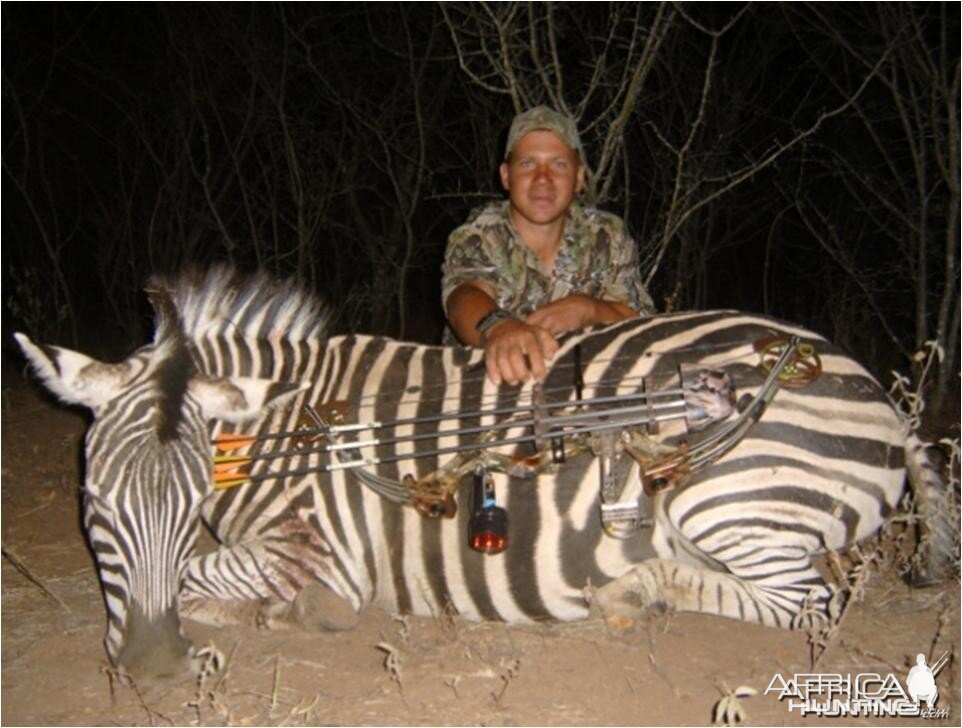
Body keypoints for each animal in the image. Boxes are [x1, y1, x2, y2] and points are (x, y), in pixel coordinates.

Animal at [15, 268, 952, 676]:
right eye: (95, 504)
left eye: (187, 501)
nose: (151, 668)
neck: (283, 427)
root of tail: (884, 398)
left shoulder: (321, 556)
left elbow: (210, 577)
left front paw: (277, 615)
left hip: (729, 501)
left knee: (809, 603)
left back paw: (637, 592)